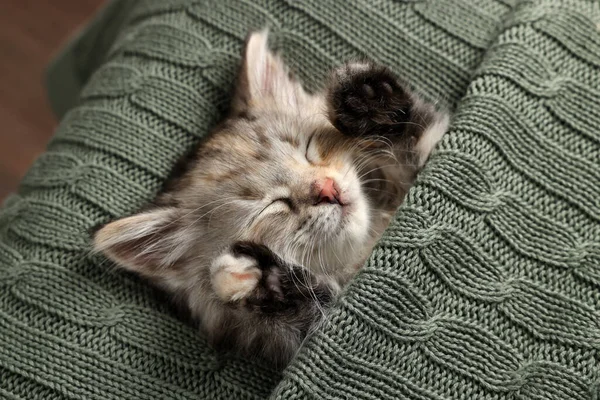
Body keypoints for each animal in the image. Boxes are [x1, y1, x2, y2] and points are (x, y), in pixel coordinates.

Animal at [94, 31, 448, 368]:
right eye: (271, 206)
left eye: (308, 148)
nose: (327, 189)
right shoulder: (304, 332)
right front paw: (260, 279)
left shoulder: (430, 146)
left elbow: (419, 132)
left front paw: (367, 96)